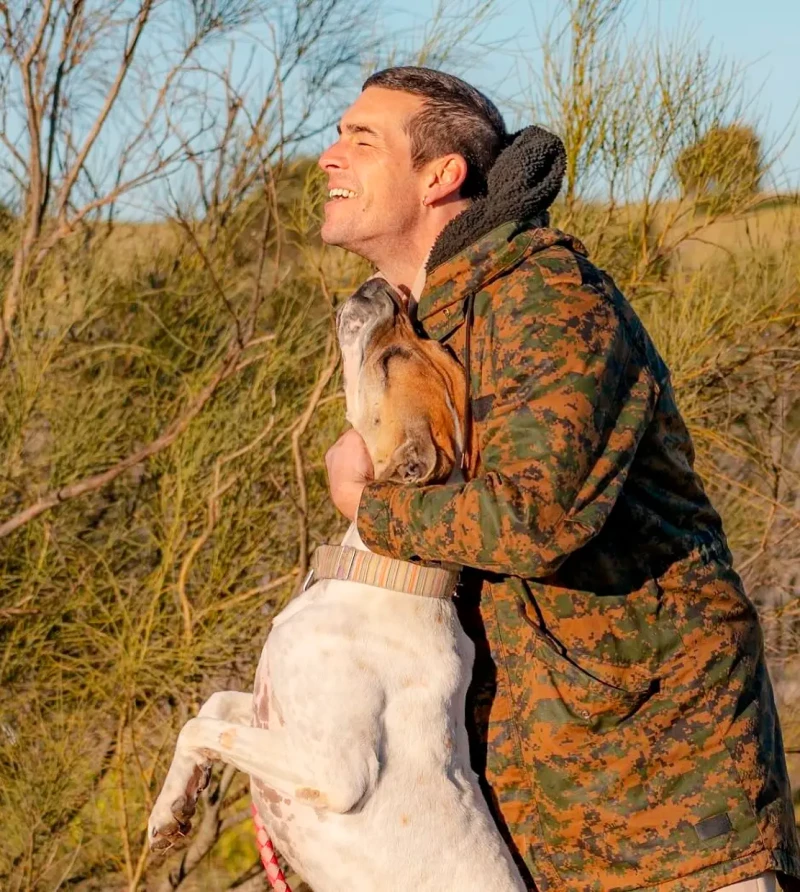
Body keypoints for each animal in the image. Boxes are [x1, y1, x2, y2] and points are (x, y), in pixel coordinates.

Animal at [149, 280, 524, 892]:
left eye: (392, 359)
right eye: (423, 343)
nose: (383, 286)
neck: (381, 572)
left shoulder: (334, 772)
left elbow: (198, 725)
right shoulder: (266, 707)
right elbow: (212, 706)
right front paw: (169, 808)